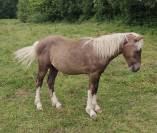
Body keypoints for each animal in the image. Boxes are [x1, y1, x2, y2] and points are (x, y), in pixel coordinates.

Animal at [14, 32, 144, 119]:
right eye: (137, 50)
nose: (136, 68)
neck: (99, 51)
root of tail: (39, 43)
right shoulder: (93, 74)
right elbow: (90, 90)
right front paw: (90, 111)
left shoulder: (98, 74)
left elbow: (95, 89)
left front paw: (96, 108)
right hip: (43, 67)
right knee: (39, 82)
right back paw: (39, 105)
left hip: (54, 68)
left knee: (50, 82)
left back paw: (56, 104)